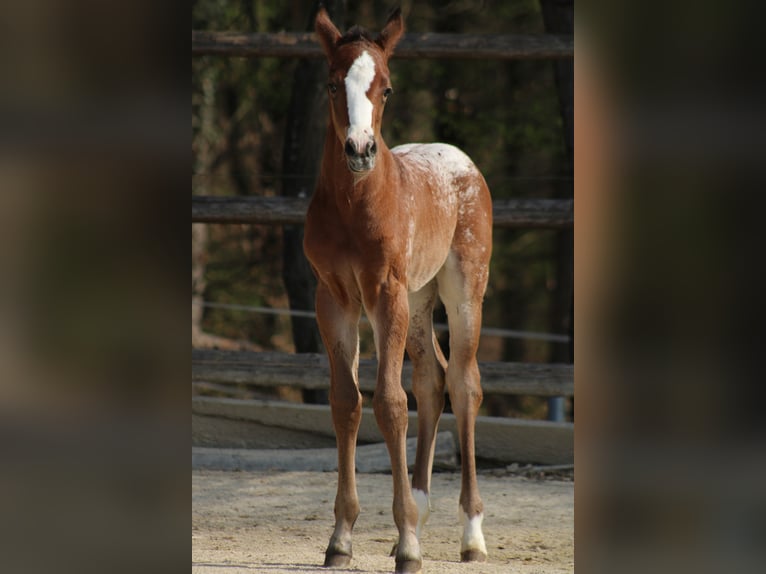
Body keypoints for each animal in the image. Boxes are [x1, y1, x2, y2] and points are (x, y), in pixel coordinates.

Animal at [303, 8, 492, 573]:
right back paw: (421, 511)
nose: (360, 150)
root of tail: (461, 159)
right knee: (432, 381)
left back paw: (470, 534)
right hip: (417, 300)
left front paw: (408, 545)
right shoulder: (334, 299)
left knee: (464, 383)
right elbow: (346, 402)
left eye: (386, 88)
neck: (354, 206)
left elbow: (389, 403)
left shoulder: (384, 294)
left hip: (462, 292)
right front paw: (341, 538)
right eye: (331, 83)